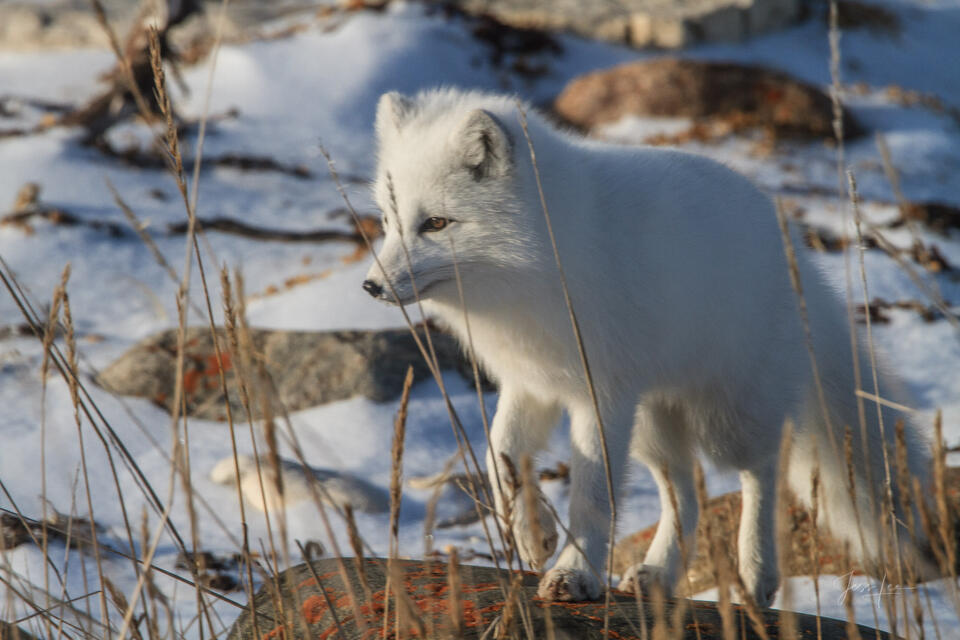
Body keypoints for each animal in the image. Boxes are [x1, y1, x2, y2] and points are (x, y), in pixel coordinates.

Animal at [361, 88, 933, 605]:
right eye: (387, 221)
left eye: (436, 223)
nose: (371, 287)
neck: (545, 258)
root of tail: (797, 253)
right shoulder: (534, 382)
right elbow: (499, 451)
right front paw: (532, 532)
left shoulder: (600, 394)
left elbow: (593, 497)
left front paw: (574, 574)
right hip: (652, 424)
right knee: (688, 493)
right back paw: (658, 575)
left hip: (723, 416)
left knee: (764, 469)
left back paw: (756, 574)